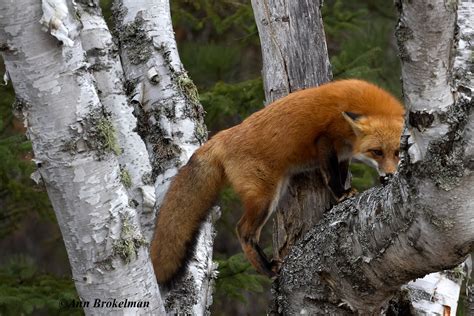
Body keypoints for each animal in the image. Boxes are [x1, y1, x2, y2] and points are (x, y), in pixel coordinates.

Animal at [151, 79, 404, 286]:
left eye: (398, 152)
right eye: (377, 152)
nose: (389, 176)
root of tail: (221, 136)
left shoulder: (342, 153)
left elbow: (340, 173)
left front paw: (344, 191)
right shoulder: (325, 141)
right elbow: (331, 176)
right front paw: (341, 194)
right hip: (264, 197)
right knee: (243, 230)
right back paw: (268, 269)